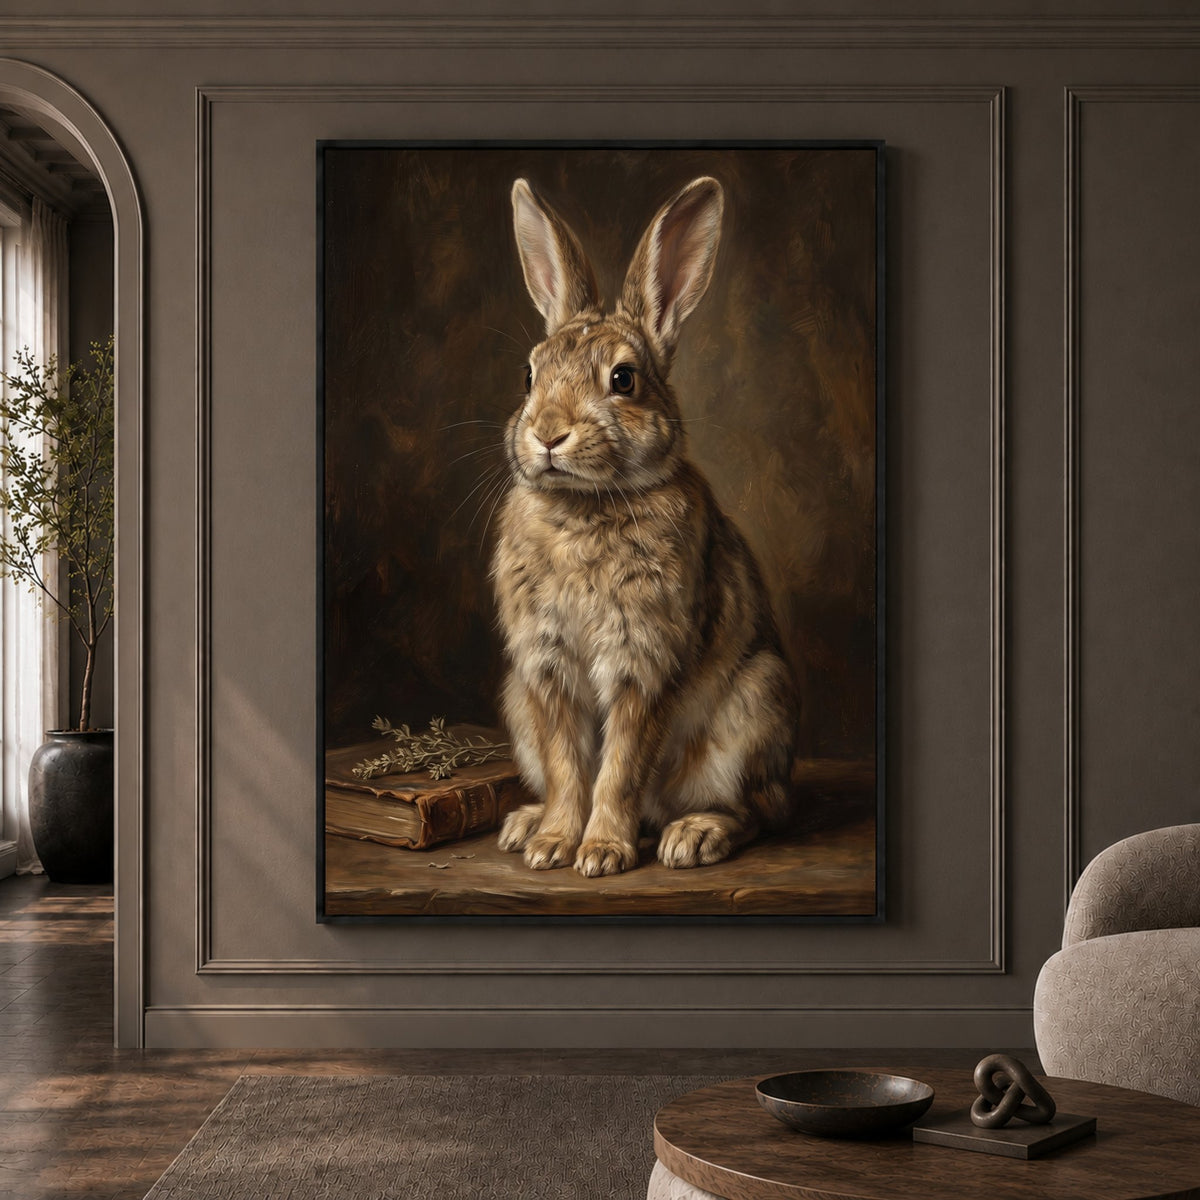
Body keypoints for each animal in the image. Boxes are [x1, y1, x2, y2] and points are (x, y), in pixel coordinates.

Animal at [491, 173, 798, 878]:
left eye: (624, 379)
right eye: (529, 374)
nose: (547, 433)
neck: (585, 506)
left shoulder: (645, 660)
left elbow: (621, 765)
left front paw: (602, 851)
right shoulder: (545, 669)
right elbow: (568, 763)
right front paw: (554, 842)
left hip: (753, 709)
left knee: (757, 813)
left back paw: (693, 837)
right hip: (516, 702)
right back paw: (523, 824)